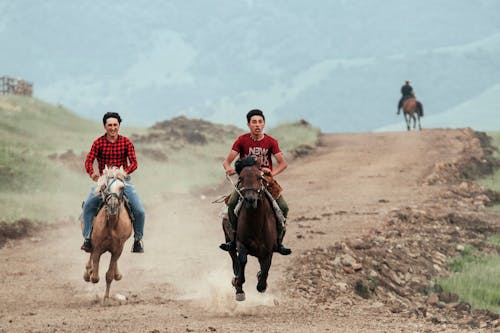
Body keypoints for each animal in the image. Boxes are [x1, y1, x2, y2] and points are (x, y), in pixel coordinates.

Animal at [222, 158, 278, 300]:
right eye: (240, 178)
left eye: (260, 177)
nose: (250, 199)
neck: (256, 225)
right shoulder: (241, 243)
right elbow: (242, 260)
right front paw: (238, 285)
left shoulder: (268, 250)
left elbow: (265, 268)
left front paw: (261, 284)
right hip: (228, 238)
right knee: (233, 257)